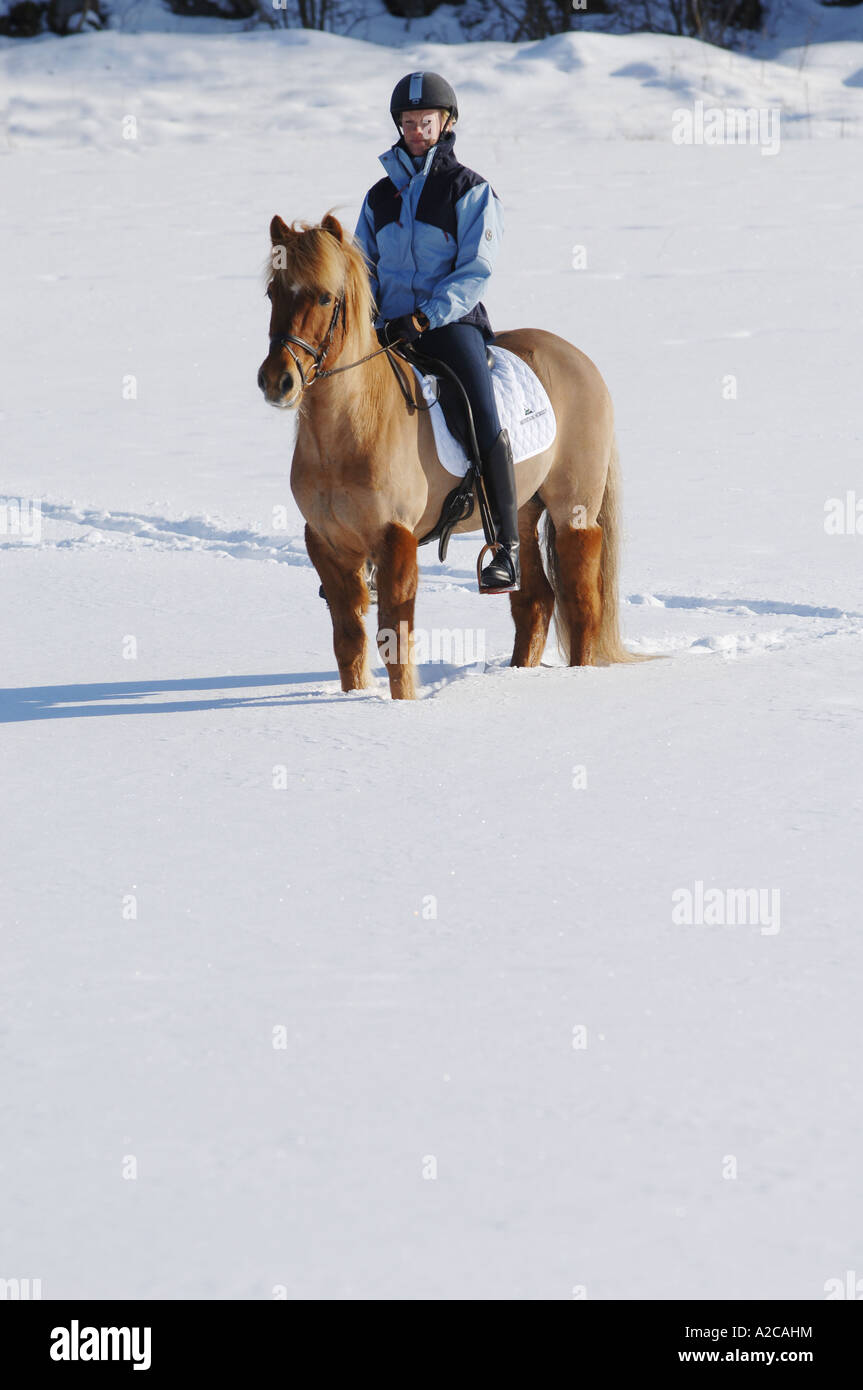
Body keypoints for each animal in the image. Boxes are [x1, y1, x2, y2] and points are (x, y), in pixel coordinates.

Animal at [257, 210, 645, 701]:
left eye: (326, 296)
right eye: (273, 292)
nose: (277, 381)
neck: (350, 430)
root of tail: (578, 358)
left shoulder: (395, 538)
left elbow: (394, 639)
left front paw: (403, 705)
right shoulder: (326, 543)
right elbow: (348, 641)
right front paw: (355, 699)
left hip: (573, 511)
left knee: (581, 603)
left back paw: (577, 677)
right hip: (521, 509)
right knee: (534, 600)